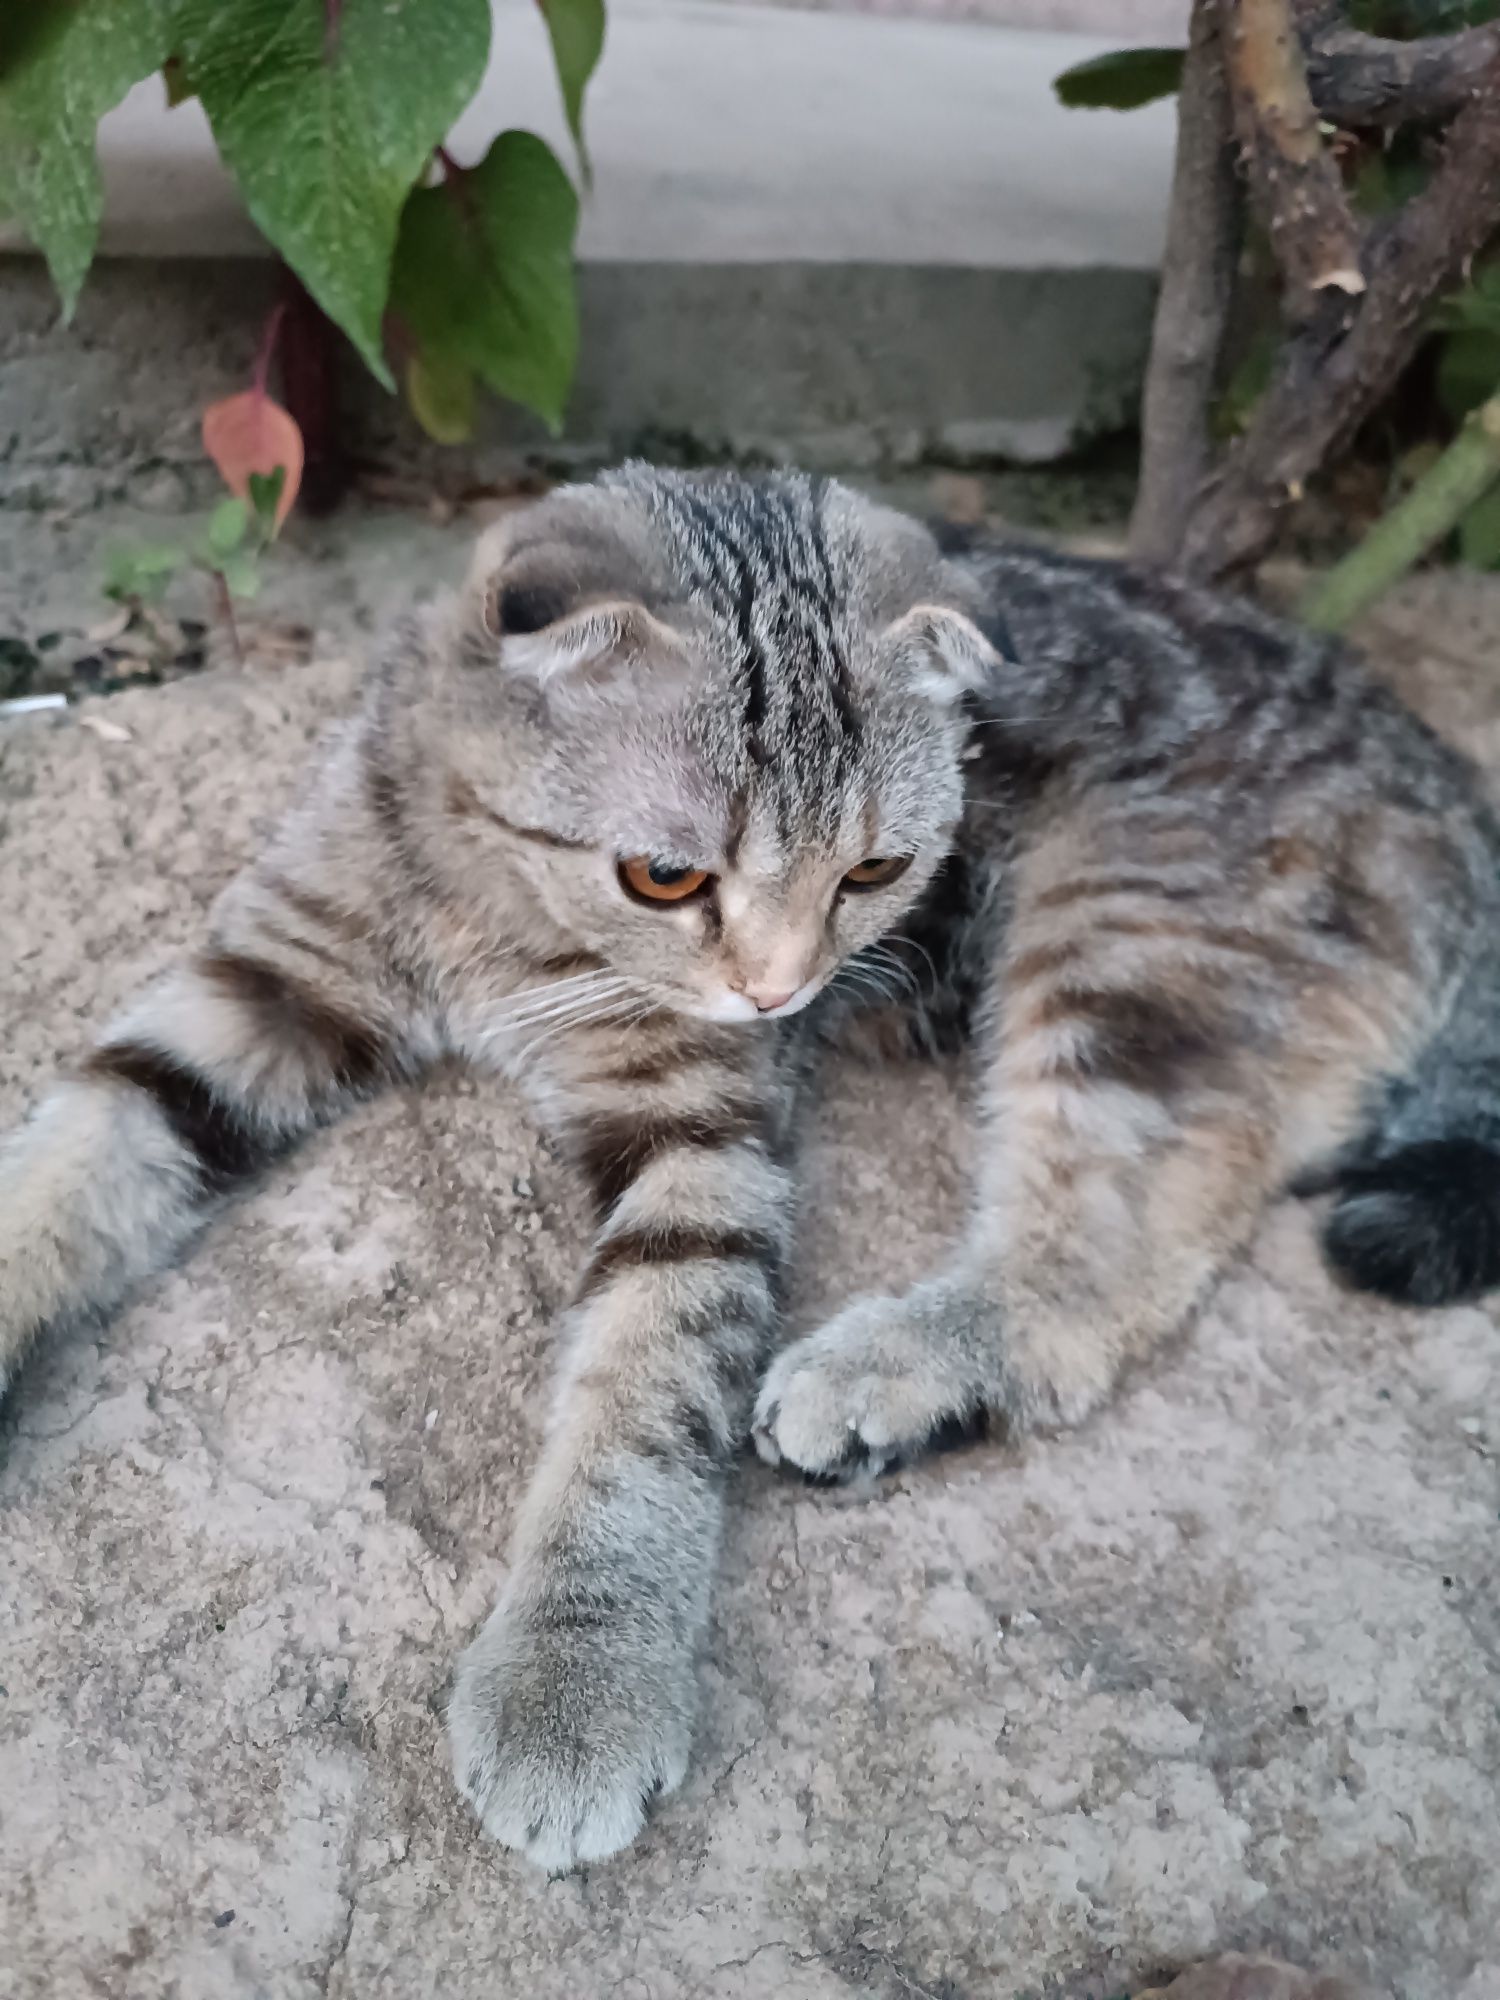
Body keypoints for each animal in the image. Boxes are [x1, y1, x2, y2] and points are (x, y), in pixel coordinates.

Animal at [2, 468, 1500, 1872]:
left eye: (880, 869)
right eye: (664, 875)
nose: (783, 990)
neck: (496, 910)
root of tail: (1440, 768)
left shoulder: (701, 1142)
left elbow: (646, 1394)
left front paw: (577, 1667)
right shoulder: (254, 983)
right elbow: (72, 1154)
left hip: (1126, 947)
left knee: (1103, 1253)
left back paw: (895, 1370)